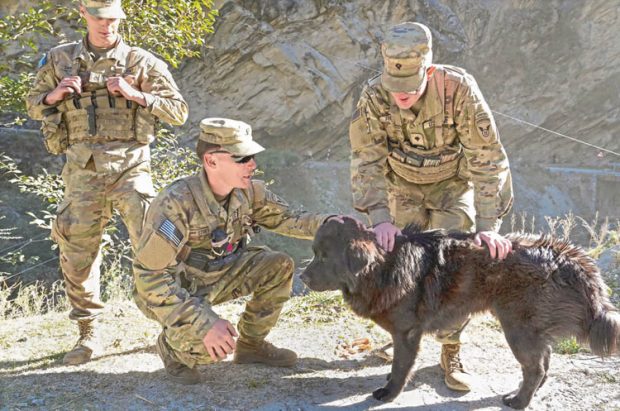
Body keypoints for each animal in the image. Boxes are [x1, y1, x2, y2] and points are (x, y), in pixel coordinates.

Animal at [300, 219, 616, 408]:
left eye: (324, 257)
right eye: (314, 253)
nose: (302, 276)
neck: (384, 267)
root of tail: (563, 255)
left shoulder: (407, 333)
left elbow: (400, 367)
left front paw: (389, 394)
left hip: (517, 328)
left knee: (535, 368)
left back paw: (519, 400)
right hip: (531, 330)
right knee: (544, 363)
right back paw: (530, 393)